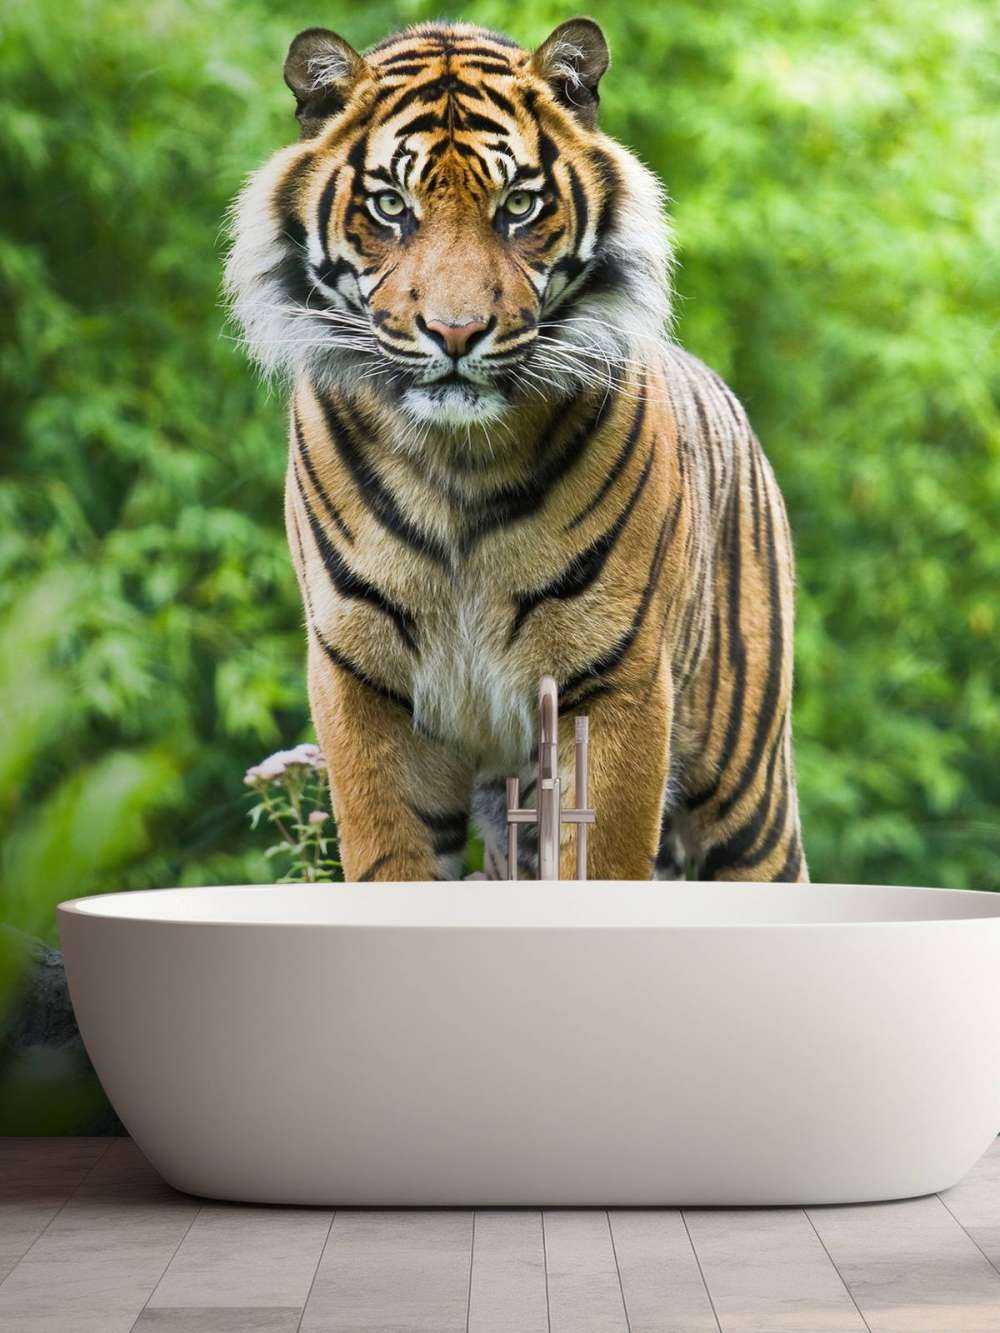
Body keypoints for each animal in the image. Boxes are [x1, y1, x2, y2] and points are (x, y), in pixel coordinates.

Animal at [224, 17, 808, 884]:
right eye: (391, 207)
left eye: (520, 205)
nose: (456, 332)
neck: (457, 462)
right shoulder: (363, 683)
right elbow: (389, 860)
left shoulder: (616, 684)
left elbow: (602, 861)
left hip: (747, 800)